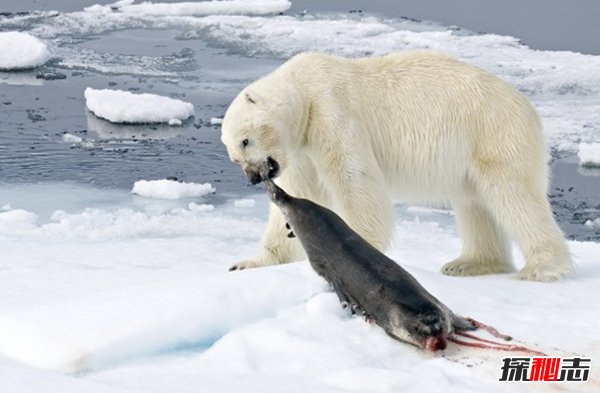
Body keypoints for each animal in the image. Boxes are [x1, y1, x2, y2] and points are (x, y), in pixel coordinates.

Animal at [220, 50, 572, 280]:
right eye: (235, 157)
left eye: (245, 141)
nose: (254, 177)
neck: (305, 90)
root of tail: (527, 106)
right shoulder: (300, 148)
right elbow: (297, 195)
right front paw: (247, 264)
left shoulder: (332, 112)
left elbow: (355, 179)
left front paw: (359, 249)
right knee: (475, 203)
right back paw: (469, 263)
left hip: (493, 133)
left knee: (513, 195)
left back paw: (542, 267)